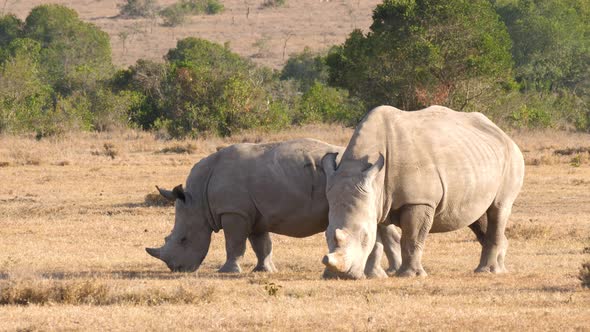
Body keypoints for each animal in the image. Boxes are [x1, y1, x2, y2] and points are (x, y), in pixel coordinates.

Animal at [147, 137, 404, 278]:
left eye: (183, 240)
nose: (176, 269)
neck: (198, 198)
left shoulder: (234, 212)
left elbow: (234, 243)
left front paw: (228, 272)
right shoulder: (253, 213)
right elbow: (261, 245)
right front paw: (265, 271)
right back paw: (388, 272)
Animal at [324, 105, 528, 278]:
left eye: (364, 236)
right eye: (326, 235)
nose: (341, 275)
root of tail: (502, 132)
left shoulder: (419, 200)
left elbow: (411, 239)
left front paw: (410, 275)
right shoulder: (377, 200)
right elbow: (379, 241)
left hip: (512, 157)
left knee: (499, 209)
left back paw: (488, 271)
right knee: (479, 218)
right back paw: (497, 267)